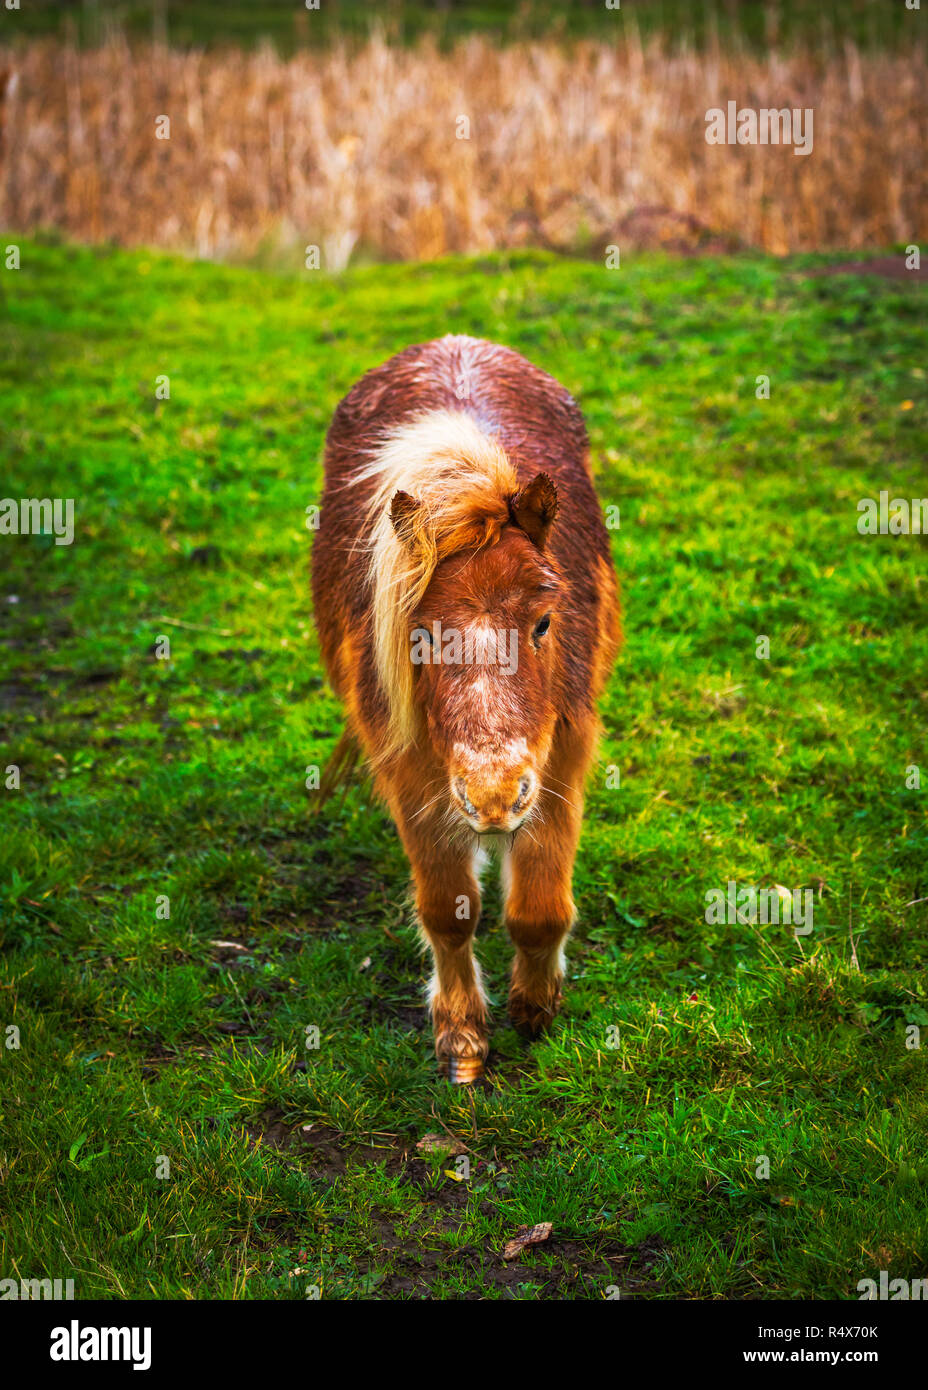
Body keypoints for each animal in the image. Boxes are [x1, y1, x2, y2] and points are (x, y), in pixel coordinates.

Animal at [313, 336, 622, 1084]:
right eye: (420, 636)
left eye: (544, 622)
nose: (492, 797)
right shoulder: (413, 774)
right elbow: (448, 913)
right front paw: (461, 1038)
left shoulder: (561, 760)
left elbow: (538, 910)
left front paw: (535, 1008)